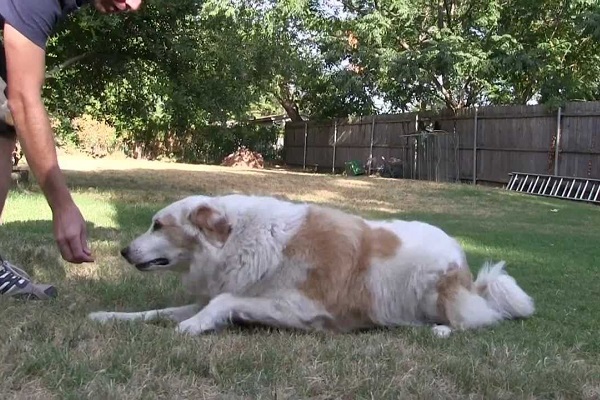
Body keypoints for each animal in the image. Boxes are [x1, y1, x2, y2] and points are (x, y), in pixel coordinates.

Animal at [88, 194, 536, 338]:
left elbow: (222, 302)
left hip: (439, 293)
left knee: (479, 319)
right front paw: (109, 316)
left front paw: (192, 327)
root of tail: (462, 260)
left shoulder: (302, 308)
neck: (243, 239)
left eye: (158, 224)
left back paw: (442, 329)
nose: (123, 251)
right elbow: (156, 311)